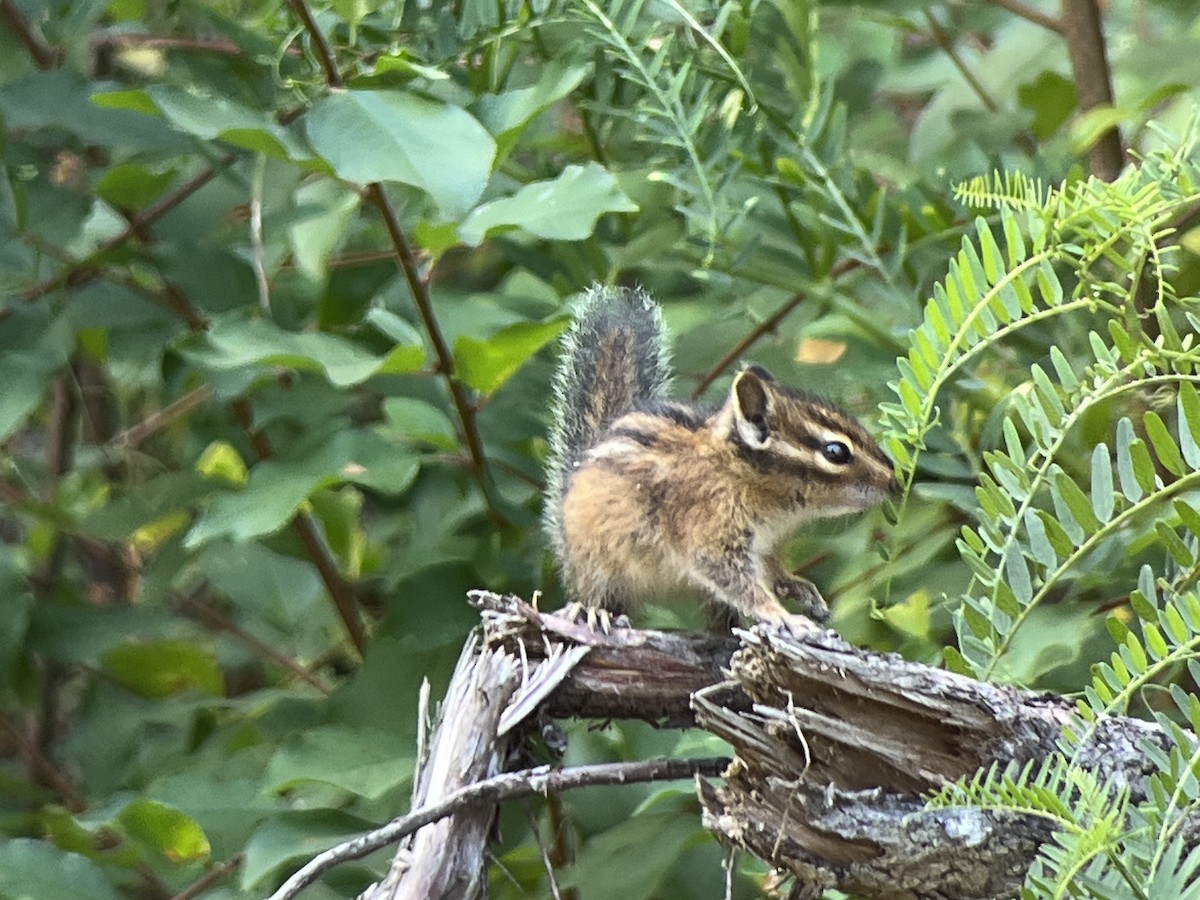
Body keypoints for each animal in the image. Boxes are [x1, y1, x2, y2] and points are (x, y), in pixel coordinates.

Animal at [543, 285, 896, 632]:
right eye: (836, 452)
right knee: (597, 594)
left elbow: (772, 571)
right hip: (598, 564)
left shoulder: (765, 546)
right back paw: (593, 611)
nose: (894, 480)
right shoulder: (710, 528)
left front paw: (801, 588)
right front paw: (780, 614)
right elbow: (737, 581)